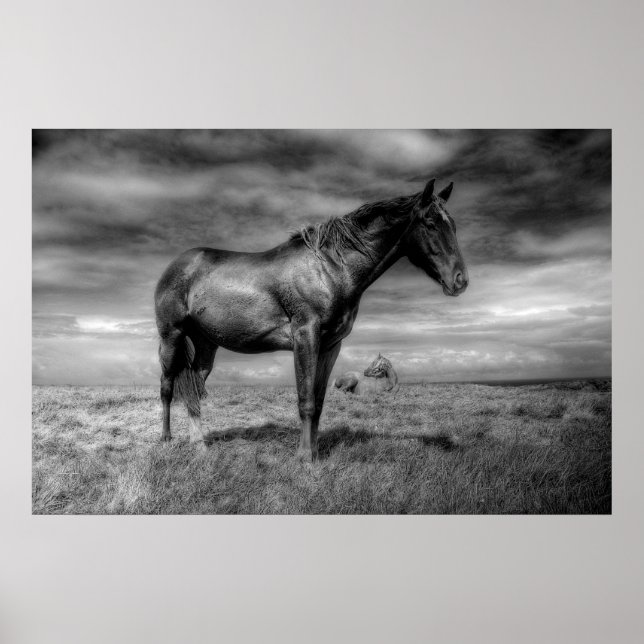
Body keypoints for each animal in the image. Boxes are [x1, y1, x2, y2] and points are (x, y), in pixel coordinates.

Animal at [154, 178, 468, 461]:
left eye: (452, 224)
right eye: (429, 223)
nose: (460, 280)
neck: (330, 269)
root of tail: (177, 266)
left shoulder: (330, 345)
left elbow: (317, 402)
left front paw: (315, 453)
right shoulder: (306, 336)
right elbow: (305, 400)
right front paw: (304, 457)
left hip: (207, 344)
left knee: (194, 386)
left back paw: (199, 444)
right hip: (172, 337)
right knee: (167, 387)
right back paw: (167, 439)